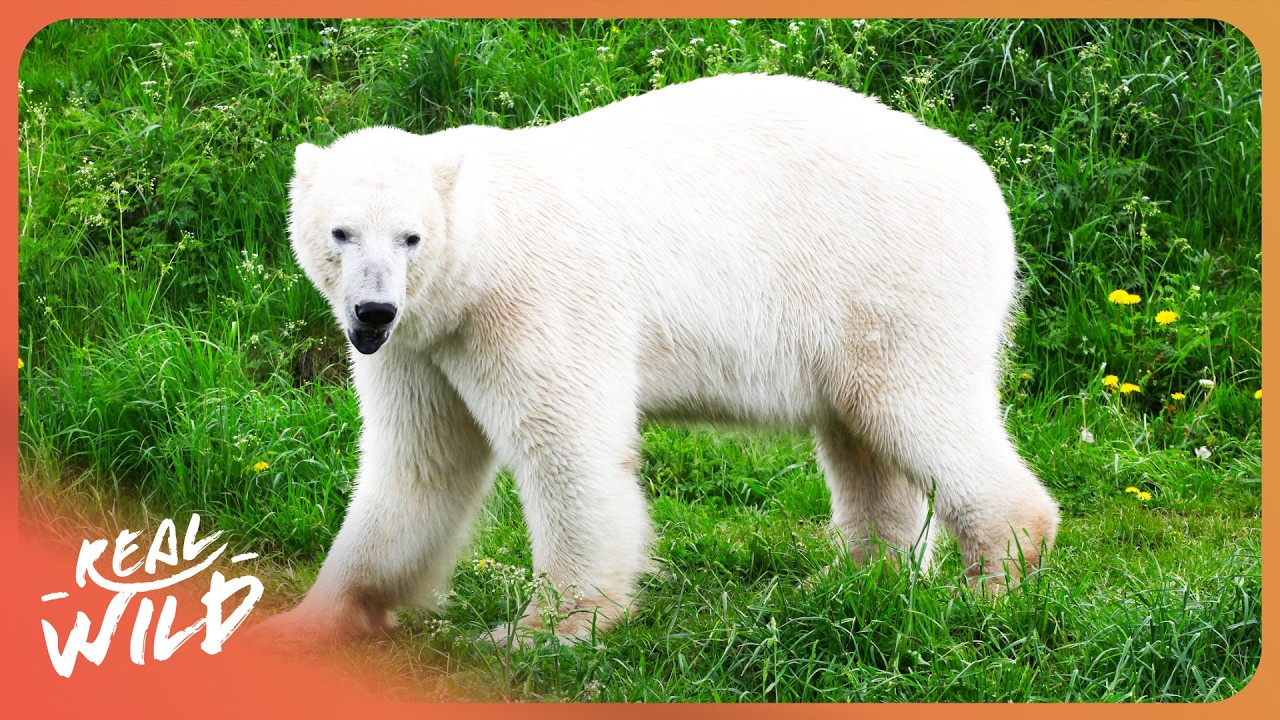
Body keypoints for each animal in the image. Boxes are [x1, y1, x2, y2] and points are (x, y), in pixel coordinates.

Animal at [255, 72, 1060, 648]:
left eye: (411, 236)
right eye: (341, 232)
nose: (372, 312)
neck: (482, 255)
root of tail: (984, 180)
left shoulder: (530, 304)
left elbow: (568, 450)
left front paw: (541, 630)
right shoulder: (426, 344)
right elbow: (418, 467)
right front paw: (308, 620)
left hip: (891, 279)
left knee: (913, 408)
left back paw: (992, 582)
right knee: (863, 444)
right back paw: (855, 586)